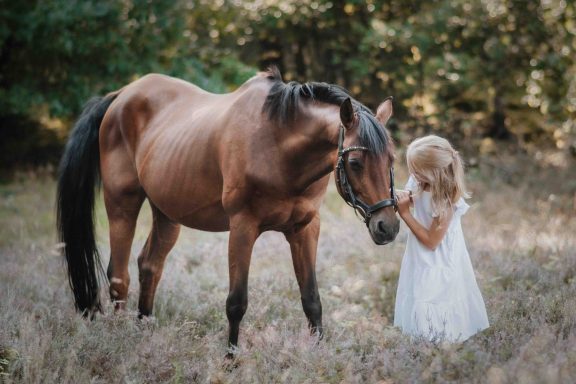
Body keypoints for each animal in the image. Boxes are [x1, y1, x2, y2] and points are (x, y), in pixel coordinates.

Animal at [58, 67, 400, 352]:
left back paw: (143, 331)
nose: (388, 226)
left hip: (167, 213)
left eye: (391, 159)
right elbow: (236, 302)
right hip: (122, 204)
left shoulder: (305, 228)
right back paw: (120, 339)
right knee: (119, 276)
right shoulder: (242, 227)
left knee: (149, 266)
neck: (277, 144)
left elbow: (311, 299)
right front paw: (231, 360)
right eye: (354, 162)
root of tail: (121, 96)